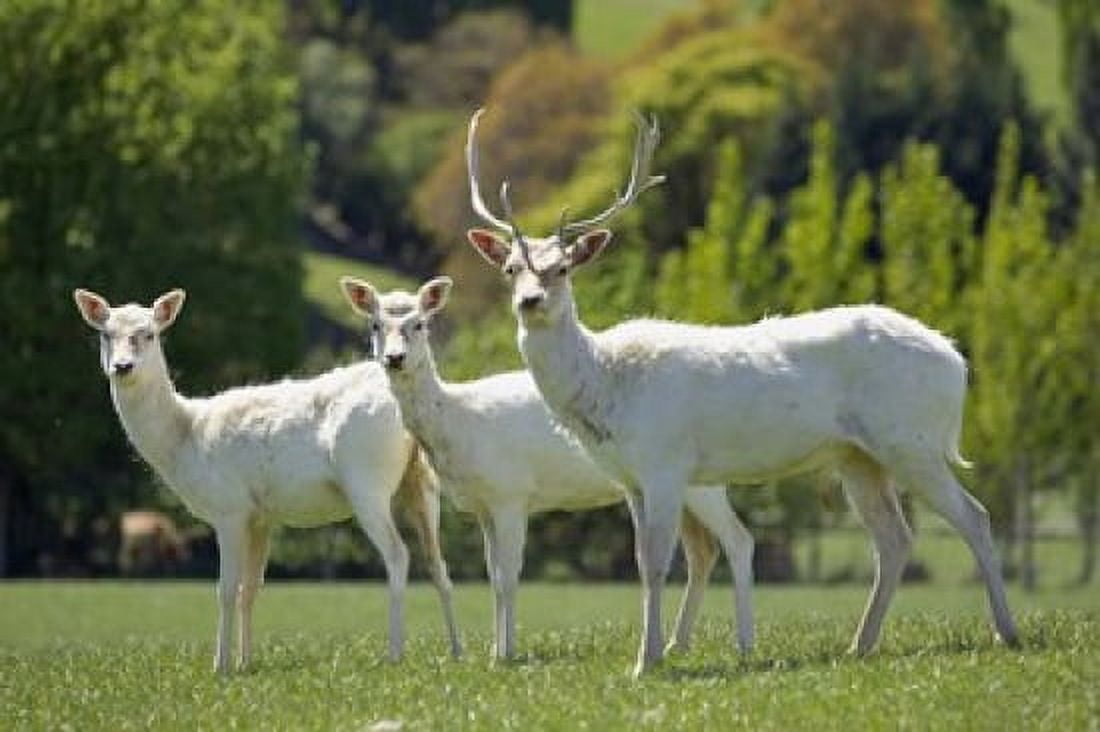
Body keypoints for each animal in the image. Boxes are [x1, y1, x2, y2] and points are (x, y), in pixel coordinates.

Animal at [73, 288, 462, 674]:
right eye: (105, 334)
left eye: (150, 334)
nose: (123, 367)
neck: (185, 440)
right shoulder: (260, 516)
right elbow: (251, 588)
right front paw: (246, 663)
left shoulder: (229, 507)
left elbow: (226, 588)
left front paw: (221, 666)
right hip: (422, 481)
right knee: (437, 562)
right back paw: (457, 652)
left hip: (366, 480)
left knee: (398, 554)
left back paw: (394, 655)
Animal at [339, 275, 755, 661]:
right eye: (375, 325)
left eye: (420, 323)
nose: (395, 358)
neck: (459, 423)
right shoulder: (483, 506)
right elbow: (493, 576)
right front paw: (495, 649)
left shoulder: (511, 492)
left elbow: (508, 576)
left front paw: (505, 655)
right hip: (677, 482)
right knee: (703, 551)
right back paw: (676, 644)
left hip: (694, 477)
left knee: (737, 539)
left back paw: (741, 645)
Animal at [463, 109, 1019, 676]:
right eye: (510, 268)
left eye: (563, 267)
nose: (530, 301)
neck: (606, 388)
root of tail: (957, 362)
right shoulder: (630, 480)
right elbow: (642, 561)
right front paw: (650, 654)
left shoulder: (666, 463)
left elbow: (657, 563)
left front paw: (647, 662)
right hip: (858, 456)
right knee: (895, 538)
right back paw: (859, 645)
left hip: (911, 439)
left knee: (975, 517)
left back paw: (1007, 633)